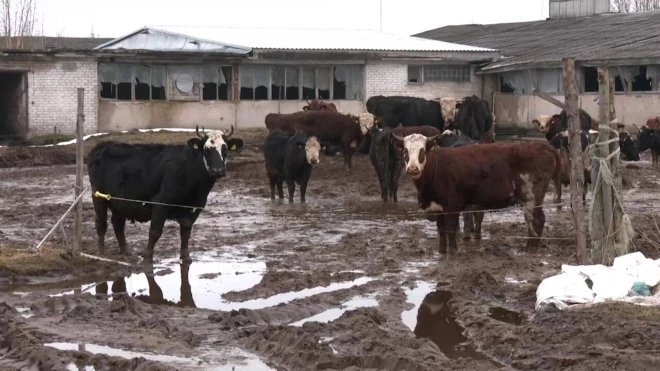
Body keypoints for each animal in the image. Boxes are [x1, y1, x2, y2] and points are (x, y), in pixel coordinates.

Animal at [86, 126, 244, 266]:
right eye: (206, 150)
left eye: (225, 149)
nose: (218, 170)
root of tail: (102, 145)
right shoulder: (161, 203)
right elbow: (155, 232)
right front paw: (147, 260)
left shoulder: (194, 207)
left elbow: (186, 232)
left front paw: (186, 258)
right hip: (98, 196)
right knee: (101, 224)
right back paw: (101, 253)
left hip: (119, 201)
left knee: (118, 223)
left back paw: (126, 252)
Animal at [392, 134, 564, 256]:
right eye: (405, 151)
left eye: (422, 151)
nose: (413, 168)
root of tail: (544, 146)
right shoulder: (438, 207)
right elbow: (441, 232)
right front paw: (441, 252)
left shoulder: (452, 206)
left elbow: (451, 231)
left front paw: (452, 252)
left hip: (531, 196)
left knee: (536, 220)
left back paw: (530, 250)